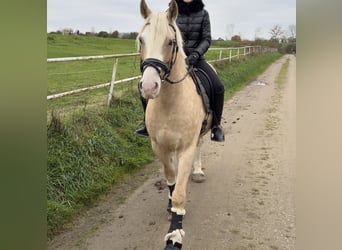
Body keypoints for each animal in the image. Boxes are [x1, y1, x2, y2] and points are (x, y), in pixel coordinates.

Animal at [138, 0, 212, 248]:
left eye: (170, 42)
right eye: (141, 40)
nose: (149, 86)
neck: (169, 103)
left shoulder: (187, 147)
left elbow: (180, 192)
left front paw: (175, 234)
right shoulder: (159, 146)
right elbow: (171, 178)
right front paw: (170, 207)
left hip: (202, 134)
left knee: (200, 146)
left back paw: (197, 171)